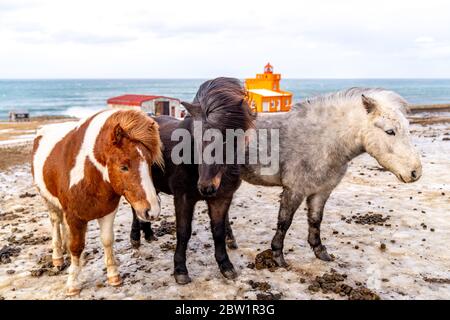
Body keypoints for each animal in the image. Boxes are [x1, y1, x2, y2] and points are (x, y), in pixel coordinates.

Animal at [31, 109, 163, 296]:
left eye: (150, 164)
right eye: (124, 166)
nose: (152, 211)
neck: (91, 174)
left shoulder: (107, 212)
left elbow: (107, 240)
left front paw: (113, 276)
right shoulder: (75, 217)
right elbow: (76, 246)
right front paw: (73, 283)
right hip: (48, 199)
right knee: (56, 222)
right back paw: (58, 257)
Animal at [132, 79, 255, 284]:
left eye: (228, 140)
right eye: (196, 138)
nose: (206, 187)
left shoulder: (222, 198)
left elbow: (218, 231)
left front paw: (226, 265)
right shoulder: (183, 197)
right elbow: (183, 231)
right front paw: (180, 270)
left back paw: (148, 234)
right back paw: (135, 237)